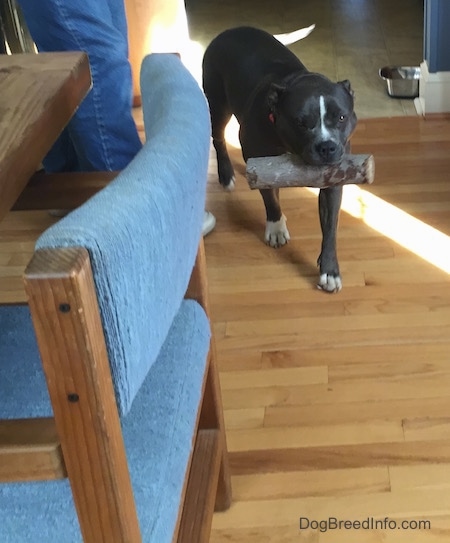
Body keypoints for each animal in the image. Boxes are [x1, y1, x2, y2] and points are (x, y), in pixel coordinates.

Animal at [202, 27, 356, 294]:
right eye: (301, 122)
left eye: (341, 117)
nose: (327, 146)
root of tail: (229, 30)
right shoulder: (261, 164)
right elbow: (270, 199)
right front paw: (275, 227)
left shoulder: (333, 182)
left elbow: (330, 228)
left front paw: (330, 270)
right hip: (218, 105)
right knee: (219, 138)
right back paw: (226, 174)